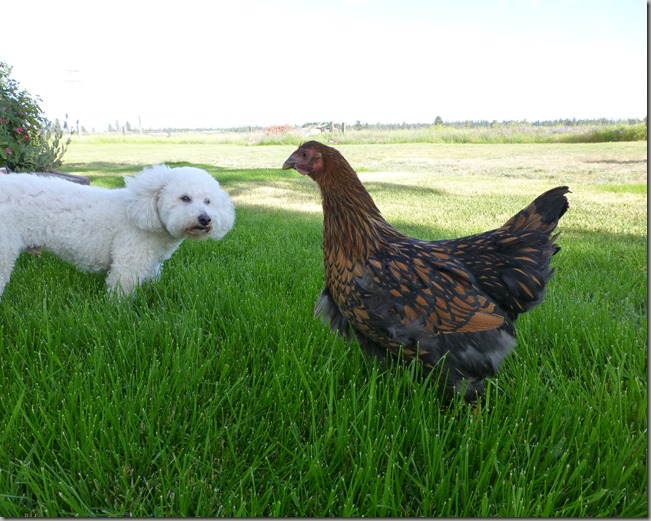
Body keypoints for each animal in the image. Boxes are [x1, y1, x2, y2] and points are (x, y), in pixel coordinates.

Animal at [0, 164, 235, 298]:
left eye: (208, 201)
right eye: (184, 198)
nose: (205, 219)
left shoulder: (151, 264)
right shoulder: (130, 259)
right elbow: (121, 291)